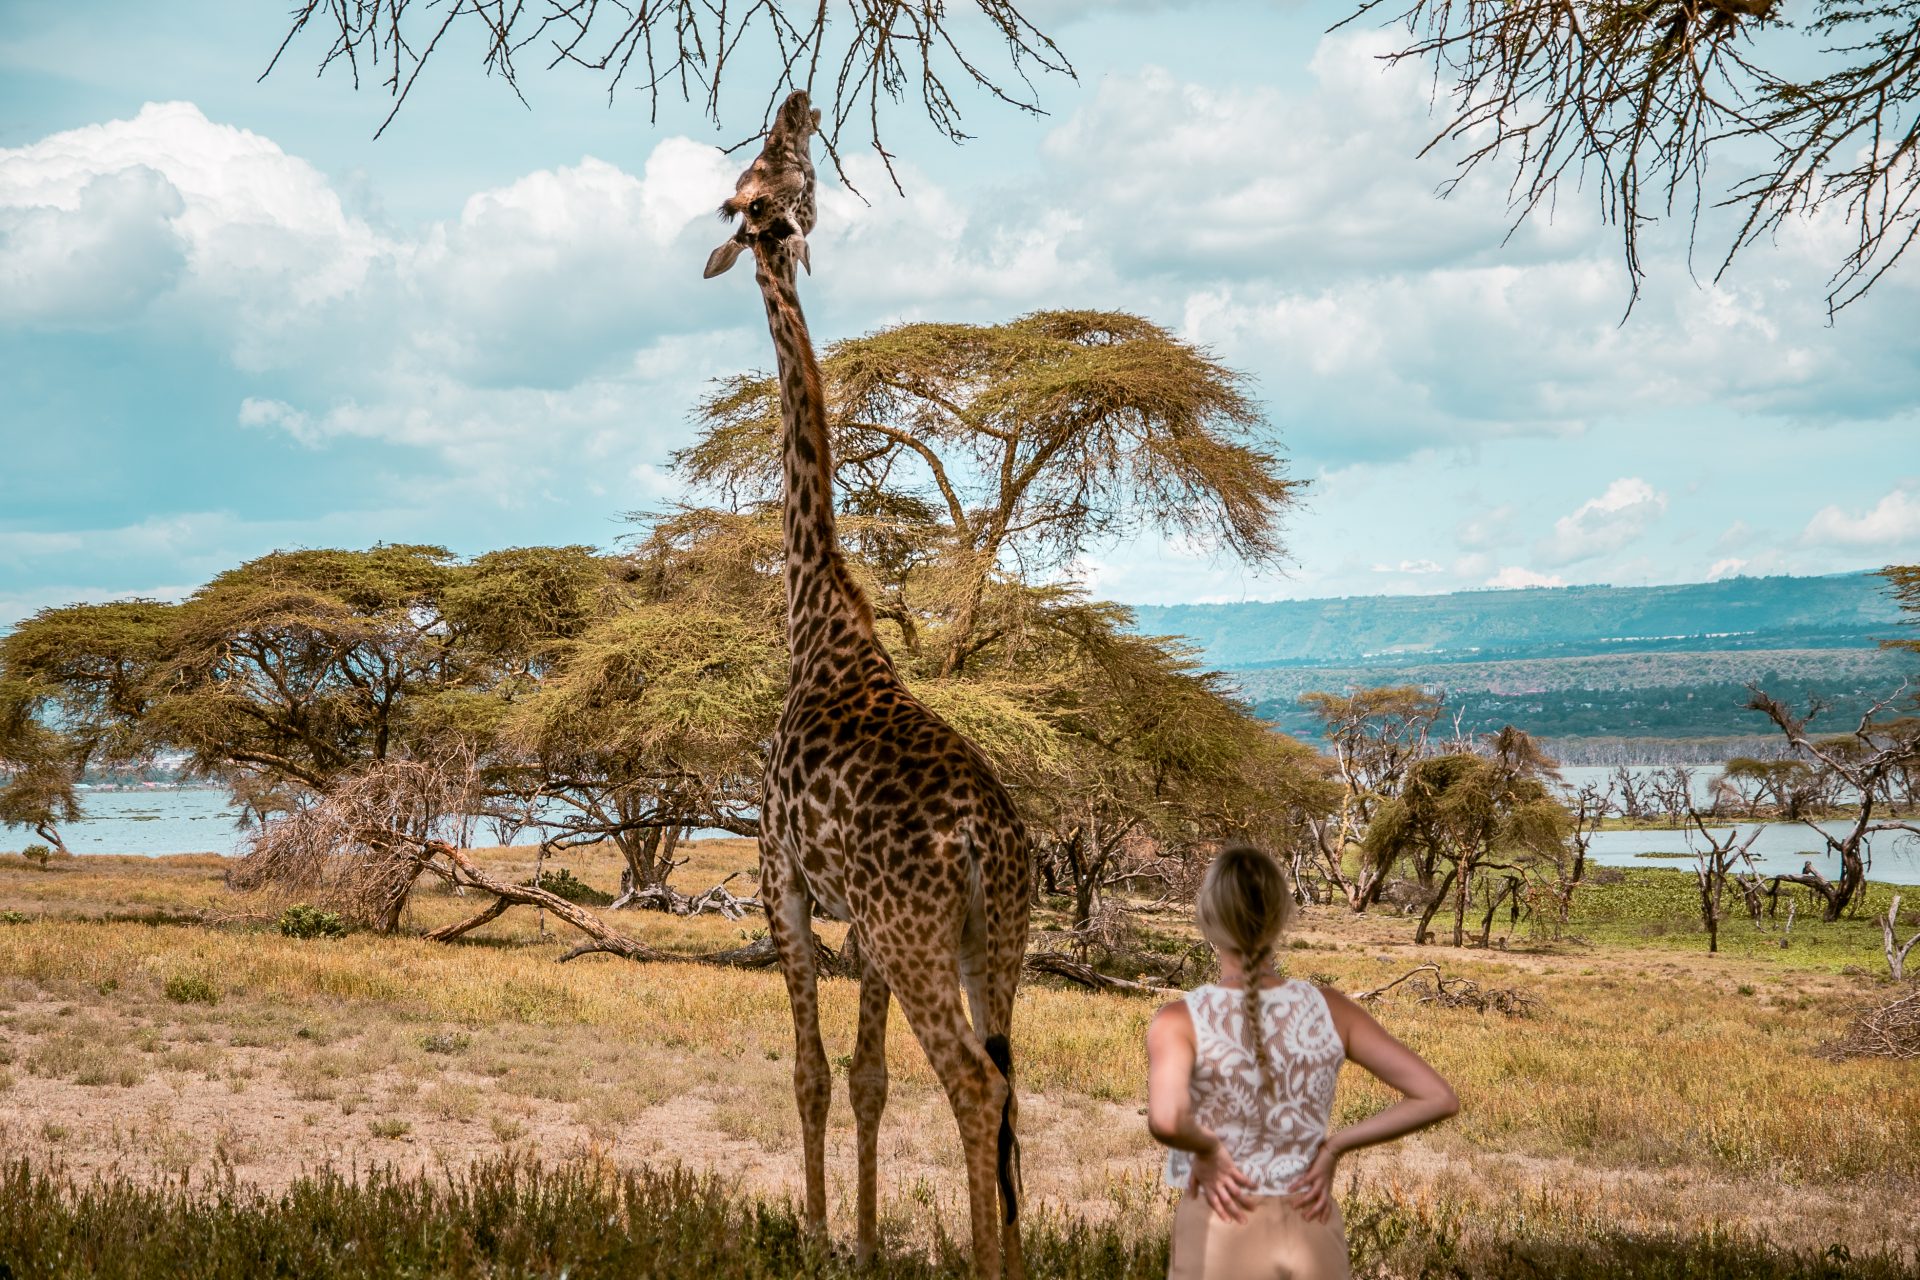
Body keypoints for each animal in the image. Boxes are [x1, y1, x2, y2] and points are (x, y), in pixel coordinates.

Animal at [703, 90, 1031, 1279]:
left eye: (766, 170)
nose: (799, 101)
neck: (819, 621)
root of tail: (984, 841)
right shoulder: (866, 934)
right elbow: (869, 1079)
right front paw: (871, 1236)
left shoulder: (783, 880)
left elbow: (808, 1072)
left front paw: (810, 1230)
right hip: (994, 944)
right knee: (1010, 1086)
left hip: (920, 935)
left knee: (976, 1087)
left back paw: (983, 1268)